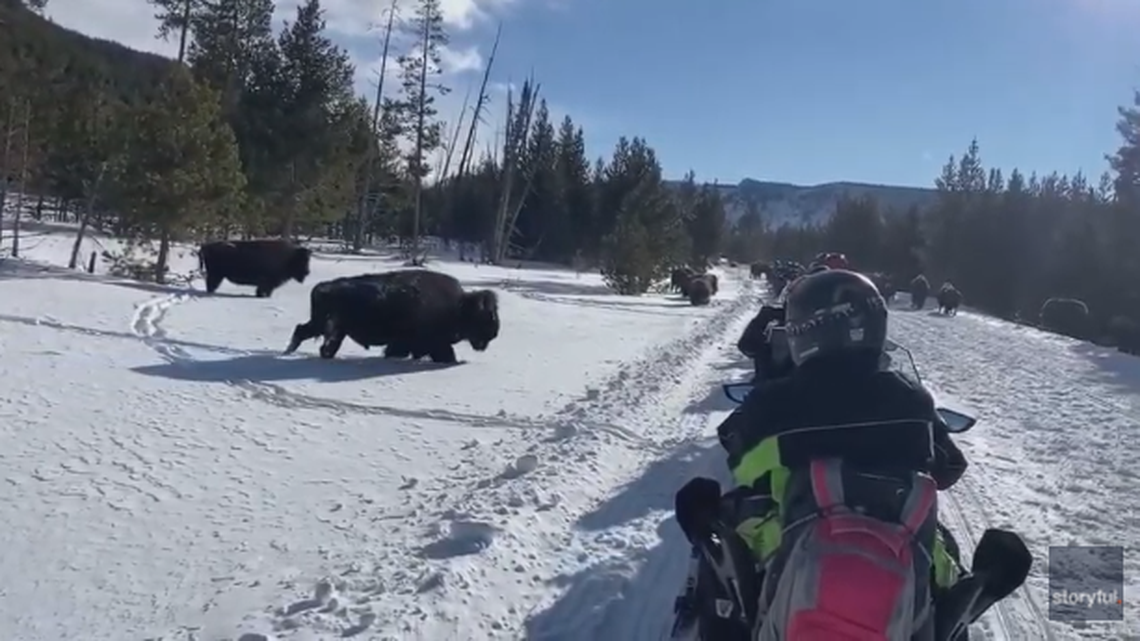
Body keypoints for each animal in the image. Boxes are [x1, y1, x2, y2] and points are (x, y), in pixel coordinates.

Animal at [285, 269, 499, 362]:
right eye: (486, 316)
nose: (494, 333)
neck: (460, 306)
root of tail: (323, 287)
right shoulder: (431, 342)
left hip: (327, 326)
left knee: (304, 331)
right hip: (328, 326)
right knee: (313, 337)